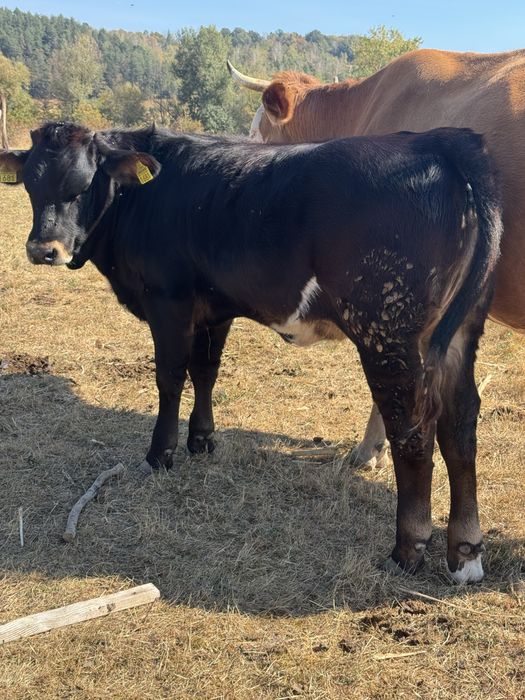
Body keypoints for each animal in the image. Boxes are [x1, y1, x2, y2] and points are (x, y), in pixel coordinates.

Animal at [0, 122, 501, 582]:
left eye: (81, 186)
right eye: (30, 185)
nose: (43, 250)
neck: (142, 199)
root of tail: (438, 138)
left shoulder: (168, 300)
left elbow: (170, 376)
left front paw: (161, 454)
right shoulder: (213, 308)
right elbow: (206, 371)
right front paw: (202, 440)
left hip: (388, 332)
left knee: (413, 432)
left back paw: (406, 551)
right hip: (458, 336)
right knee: (460, 426)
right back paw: (466, 554)